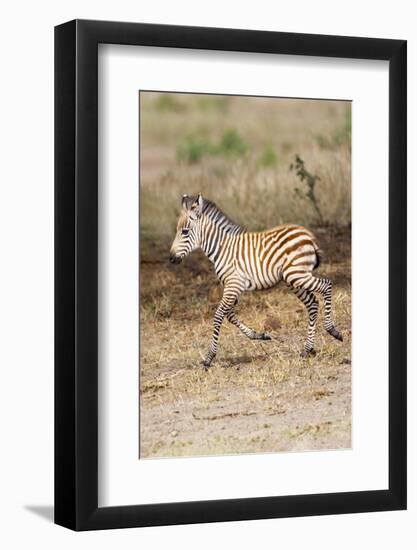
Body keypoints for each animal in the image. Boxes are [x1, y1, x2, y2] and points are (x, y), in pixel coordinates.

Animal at [169, 194, 342, 370]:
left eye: (184, 232)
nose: (171, 258)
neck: (222, 248)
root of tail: (308, 235)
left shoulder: (233, 285)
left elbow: (219, 315)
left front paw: (209, 358)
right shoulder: (233, 287)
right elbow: (229, 315)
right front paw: (259, 335)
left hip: (297, 275)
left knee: (327, 285)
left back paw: (332, 331)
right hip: (293, 278)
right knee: (312, 303)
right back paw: (307, 349)